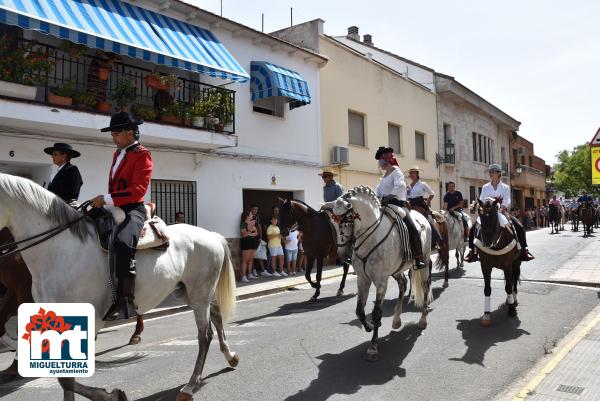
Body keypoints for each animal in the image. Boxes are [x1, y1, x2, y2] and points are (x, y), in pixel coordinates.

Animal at [0, 174, 239, 400]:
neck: (62, 250)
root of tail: (211, 235)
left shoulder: (92, 320)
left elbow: (67, 378)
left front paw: (110, 395)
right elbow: (64, 378)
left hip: (199, 293)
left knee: (204, 335)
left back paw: (190, 385)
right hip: (187, 292)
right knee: (216, 316)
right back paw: (230, 357)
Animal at [328, 186, 432, 360]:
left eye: (346, 223)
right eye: (333, 225)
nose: (342, 255)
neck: (370, 236)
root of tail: (422, 217)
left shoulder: (381, 280)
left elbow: (377, 312)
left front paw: (373, 346)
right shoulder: (363, 279)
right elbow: (359, 311)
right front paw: (370, 327)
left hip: (423, 264)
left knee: (425, 288)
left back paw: (423, 321)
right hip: (397, 270)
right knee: (403, 285)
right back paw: (396, 320)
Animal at [474, 198, 520, 326]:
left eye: (495, 215)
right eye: (480, 213)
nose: (487, 242)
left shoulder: (507, 265)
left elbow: (508, 287)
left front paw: (511, 310)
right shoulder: (485, 266)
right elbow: (487, 289)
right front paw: (486, 315)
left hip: (516, 263)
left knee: (514, 280)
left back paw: (513, 299)